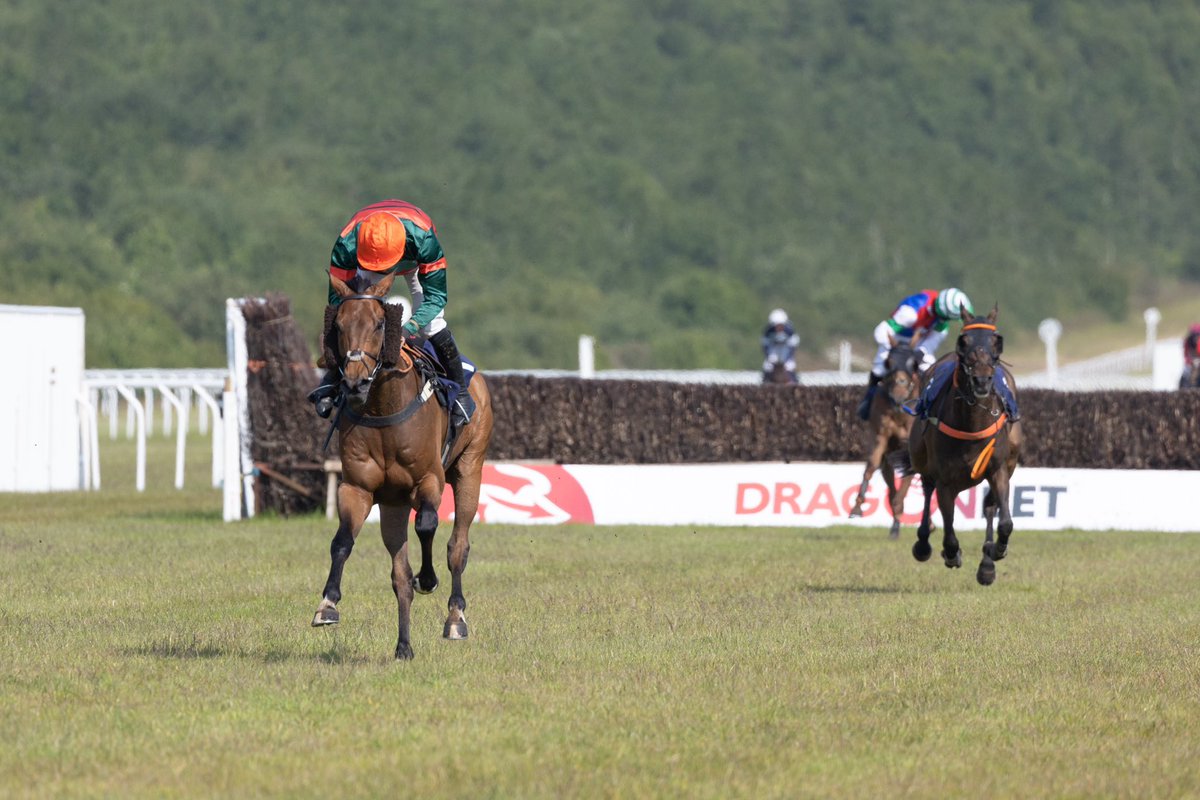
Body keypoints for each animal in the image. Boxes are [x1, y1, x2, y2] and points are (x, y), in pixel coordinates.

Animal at [314, 272, 496, 662]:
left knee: (457, 546)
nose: (355, 382)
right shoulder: (358, 488)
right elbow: (342, 542)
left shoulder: (429, 479)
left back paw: (455, 617)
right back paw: (404, 647)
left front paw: (428, 579)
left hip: (470, 469)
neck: (382, 406)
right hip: (393, 505)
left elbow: (427, 525)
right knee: (399, 576)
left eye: (380, 324)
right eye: (338, 325)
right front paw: (328, 604)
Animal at [849, 340, 921, 542]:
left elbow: (908, 477)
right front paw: (857, 506)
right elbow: (871, 466)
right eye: (889, 361)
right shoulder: (880, 437)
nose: (898, 395)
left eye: (913, 362)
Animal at [902, 303, 1017, 585]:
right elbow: (949, 528)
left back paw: (987, 563)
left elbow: (1005, 522)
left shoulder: (998, 469)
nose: (982, 380)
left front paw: (997, 550)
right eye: (963, 340)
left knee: (990, 506)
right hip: (921, 459)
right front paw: (951, 553)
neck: (972, 422)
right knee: (927, 490)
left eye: (996, 340)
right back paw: (923, 543)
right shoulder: (945, 480)